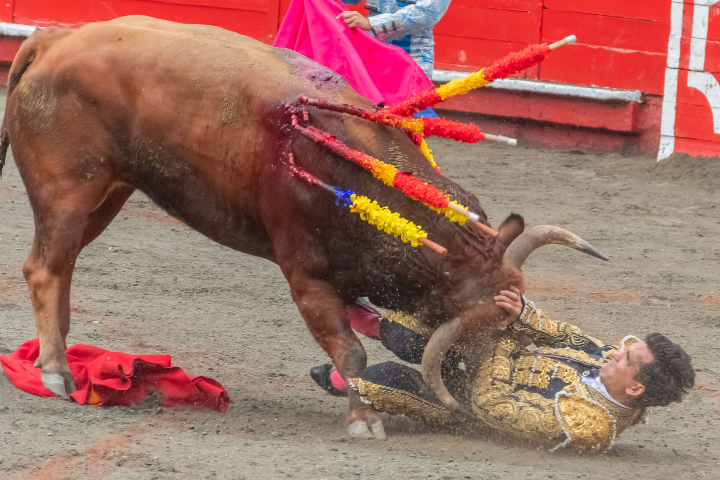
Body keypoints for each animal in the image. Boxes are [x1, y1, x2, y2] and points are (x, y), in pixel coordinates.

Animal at [0, 16, 606, 438]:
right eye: (478, 332)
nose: (478, 393)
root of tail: (53, 39)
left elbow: (362, 334)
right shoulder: (305, 277)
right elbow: (352, 353)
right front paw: (365, 420)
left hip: (109, 193)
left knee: (58, 268)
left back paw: (58, 363)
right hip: (69, 191)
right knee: (46, 269)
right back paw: (56, 375)